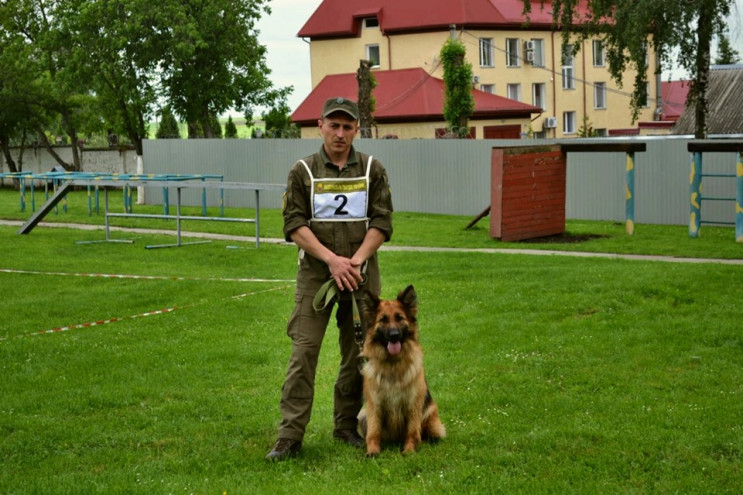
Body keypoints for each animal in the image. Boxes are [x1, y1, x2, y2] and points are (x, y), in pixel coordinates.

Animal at [360, 286, 448, 458]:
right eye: (383, 320)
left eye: (399, 318)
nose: (394, 335)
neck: (393, 365)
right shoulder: (374, 406)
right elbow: (373, 432)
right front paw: (372, 450)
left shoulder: (413, 404)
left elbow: (412, 432)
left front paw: (409, 450)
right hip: (362, 416)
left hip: (430, 414)